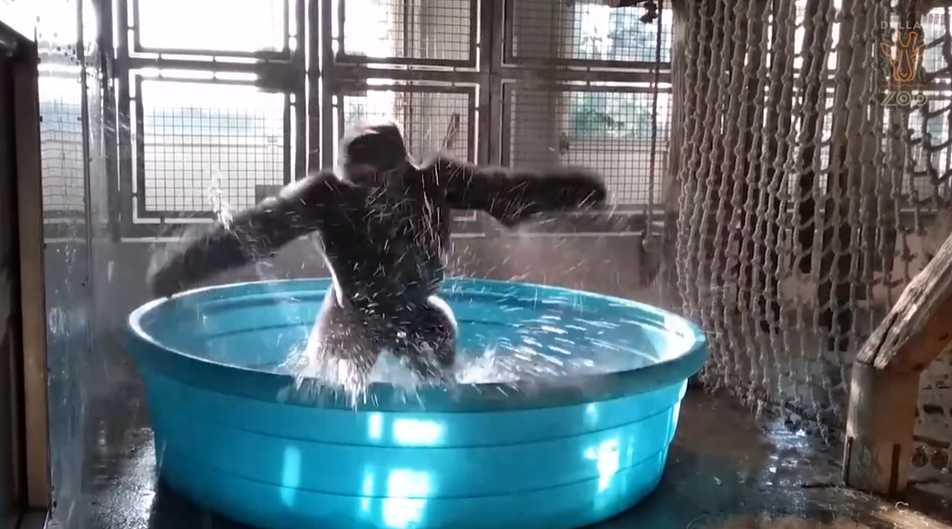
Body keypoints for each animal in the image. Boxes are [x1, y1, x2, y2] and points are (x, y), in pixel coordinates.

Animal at [147, 120, 607, 385]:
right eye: (353, 164)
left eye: (366, 160)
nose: (357, 178)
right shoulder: (320, 193)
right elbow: (264, 227)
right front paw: (172, 273)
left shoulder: (444, 175)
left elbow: (505, 198)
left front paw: (586, 190)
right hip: (348, 326)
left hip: (415, 326)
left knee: (437, 340)